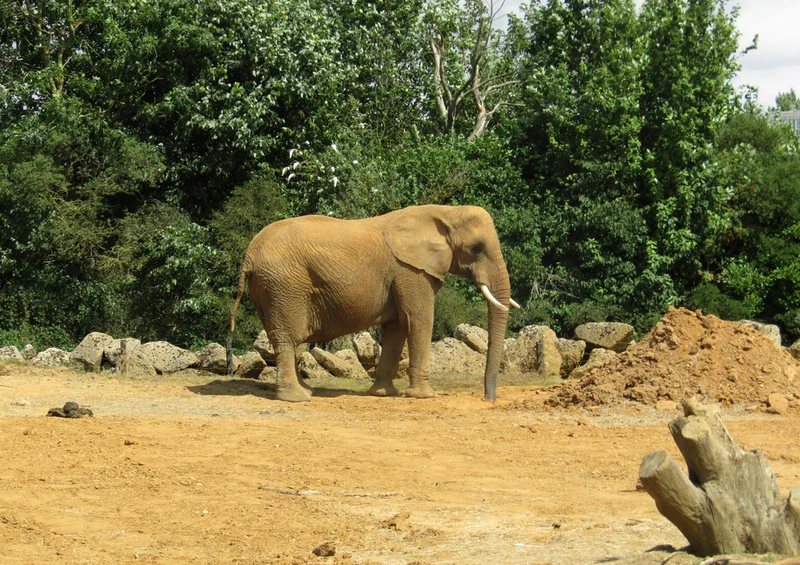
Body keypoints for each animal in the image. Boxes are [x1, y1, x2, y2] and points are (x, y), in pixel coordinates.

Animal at [228, 204, 518, 402]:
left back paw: (305, 390)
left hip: (271, 288)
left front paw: (384, 394)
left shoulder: (402, 276)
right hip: (284, 285)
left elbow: (397, 327)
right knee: (289, 337)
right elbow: (418, 320)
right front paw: (424, 396)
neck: (445, 212)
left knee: (289, 339)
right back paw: (298, 398)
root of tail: (249, 255)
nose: (488, 399)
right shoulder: (411, 271)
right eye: (477, 248)